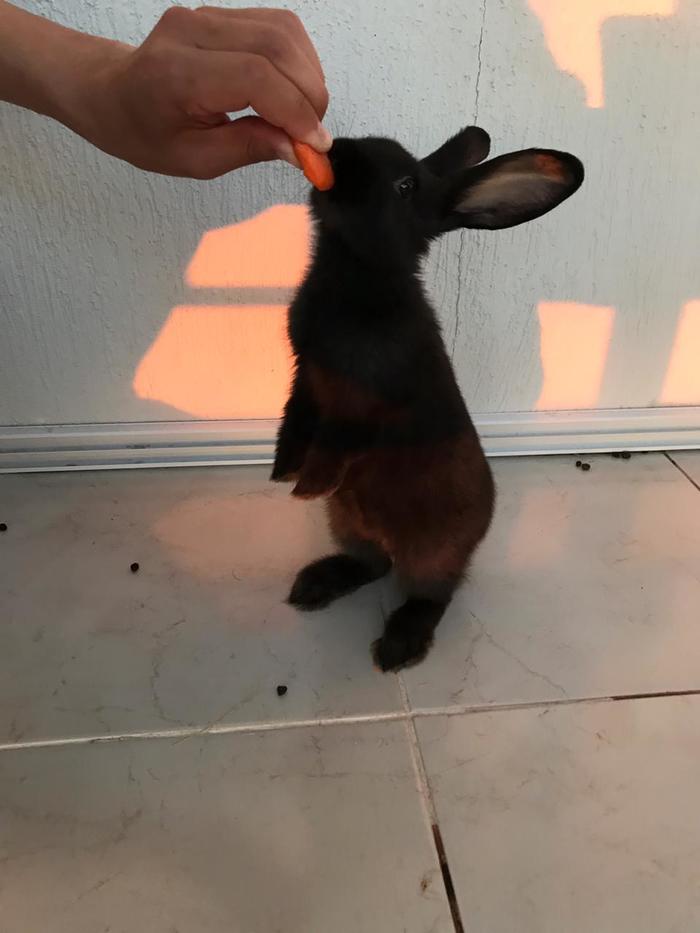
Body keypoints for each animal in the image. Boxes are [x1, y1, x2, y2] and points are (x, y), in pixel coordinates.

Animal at [270, 125, 584, 668]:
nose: (336, 152)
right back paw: (314, 586)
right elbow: (295, 418)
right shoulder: (306, 376)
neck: (357, 273)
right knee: (372, 564)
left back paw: (399, 646)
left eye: (404, 186)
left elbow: (337, 439)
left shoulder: (366, 401)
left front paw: (309, 484)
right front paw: (284, 469)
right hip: (349, 526)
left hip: (431, 555)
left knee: (434, 594)